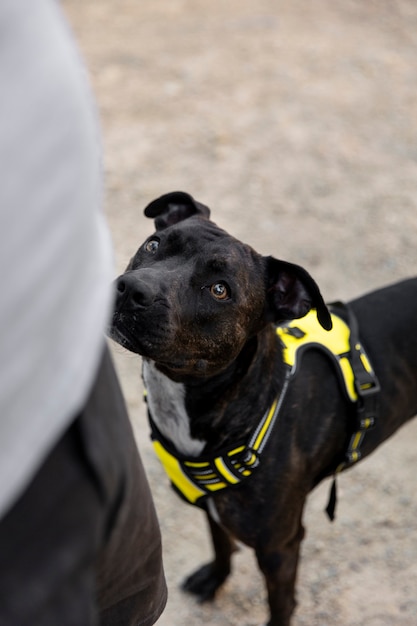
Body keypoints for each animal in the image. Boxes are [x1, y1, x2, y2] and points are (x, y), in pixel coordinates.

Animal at [109, 190, 416, 624]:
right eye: (153, 245)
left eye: (220, 290)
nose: (130, 289)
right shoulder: (212, 509)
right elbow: (221, 544)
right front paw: (215, 579)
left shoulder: (280, 549)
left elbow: (280, 604)